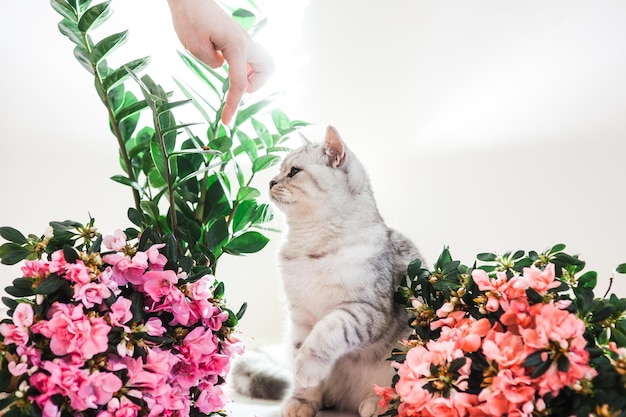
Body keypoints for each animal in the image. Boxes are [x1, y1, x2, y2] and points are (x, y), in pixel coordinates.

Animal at [232, 127, 422, 416]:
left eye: (294, 171)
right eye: (279, 169)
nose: (271, 182)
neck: (309, 246)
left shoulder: (363, 309)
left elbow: (325, 335)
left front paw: (307, 368)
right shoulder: (300, 315)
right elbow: (301, 358)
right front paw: (301, 401)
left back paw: (377, 402)